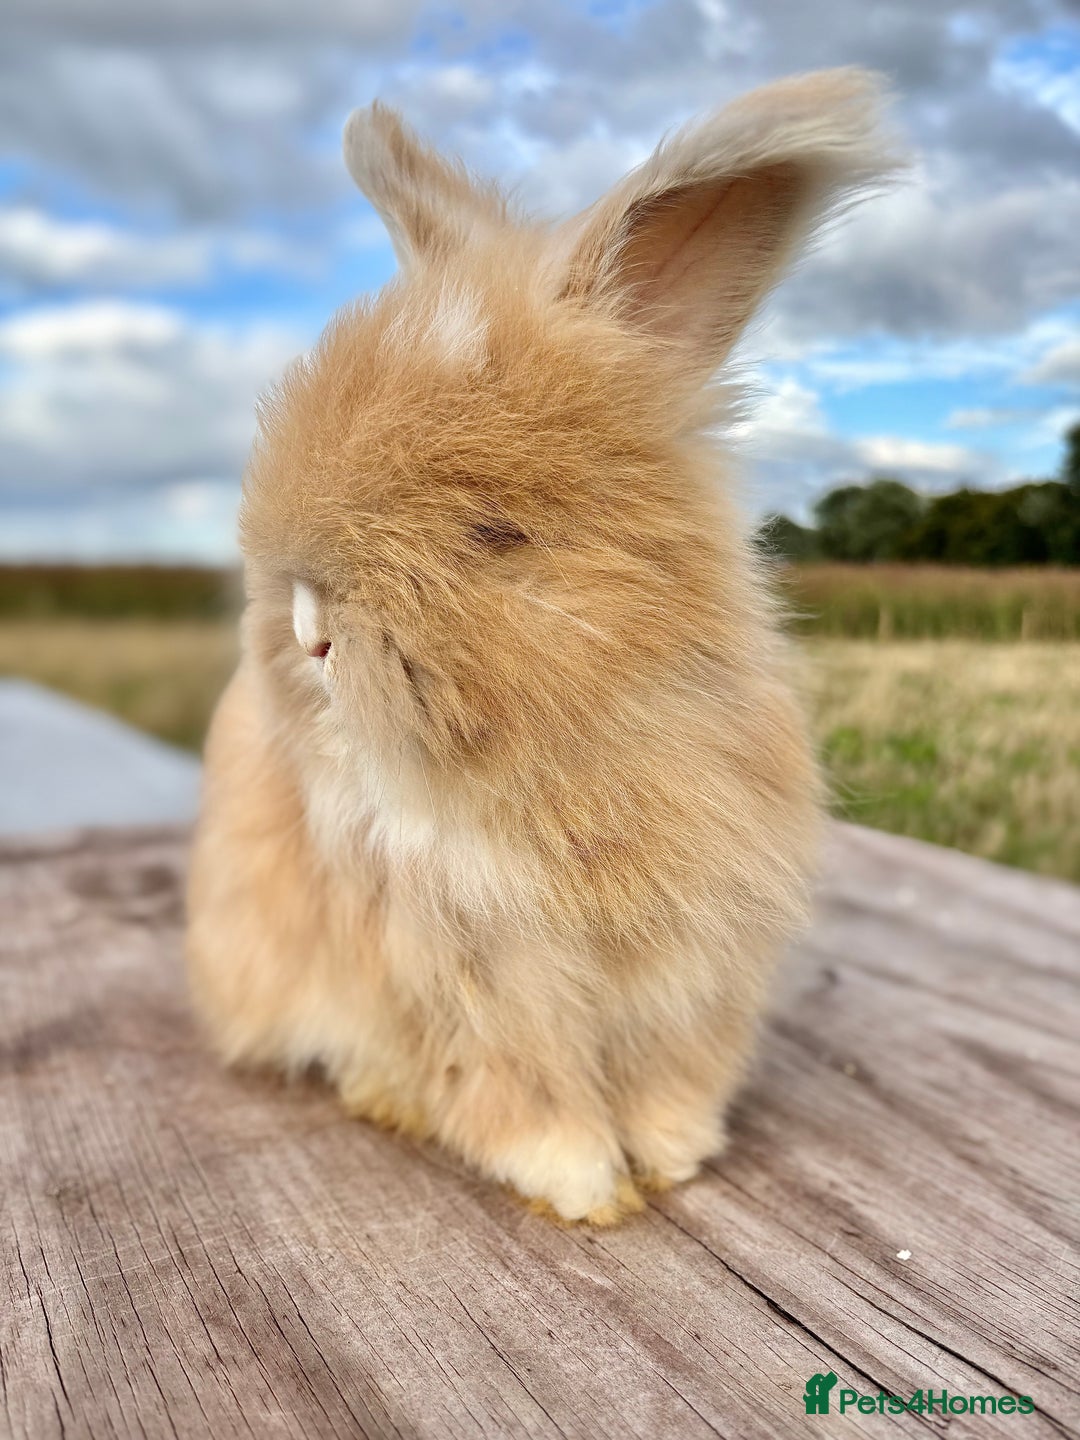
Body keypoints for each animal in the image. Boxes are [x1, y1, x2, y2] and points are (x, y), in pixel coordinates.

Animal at [186, 68, 900, 1224]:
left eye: (493, 533)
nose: (309, 632)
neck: (563, 761)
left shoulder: (691, 972)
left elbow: (668, 1081)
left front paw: (673, 1158)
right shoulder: (473, 987)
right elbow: (524, 1098)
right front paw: (583, 1188)